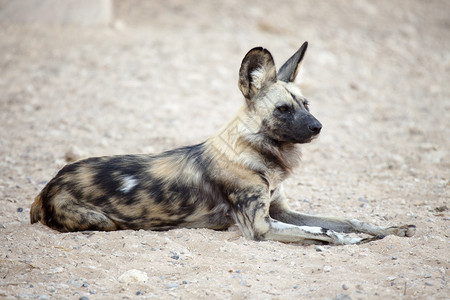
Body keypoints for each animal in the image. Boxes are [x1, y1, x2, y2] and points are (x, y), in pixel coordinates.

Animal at [30, 42, 414, 244]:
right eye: (283, 109)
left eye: (307, 104)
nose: (318, 127)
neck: (256, 156)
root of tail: (50, 184)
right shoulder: (261, 225)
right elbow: (325, 232)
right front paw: (352, 241)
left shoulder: (280, 211)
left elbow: (347, 220)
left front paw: (389, 229)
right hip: (104, 221)